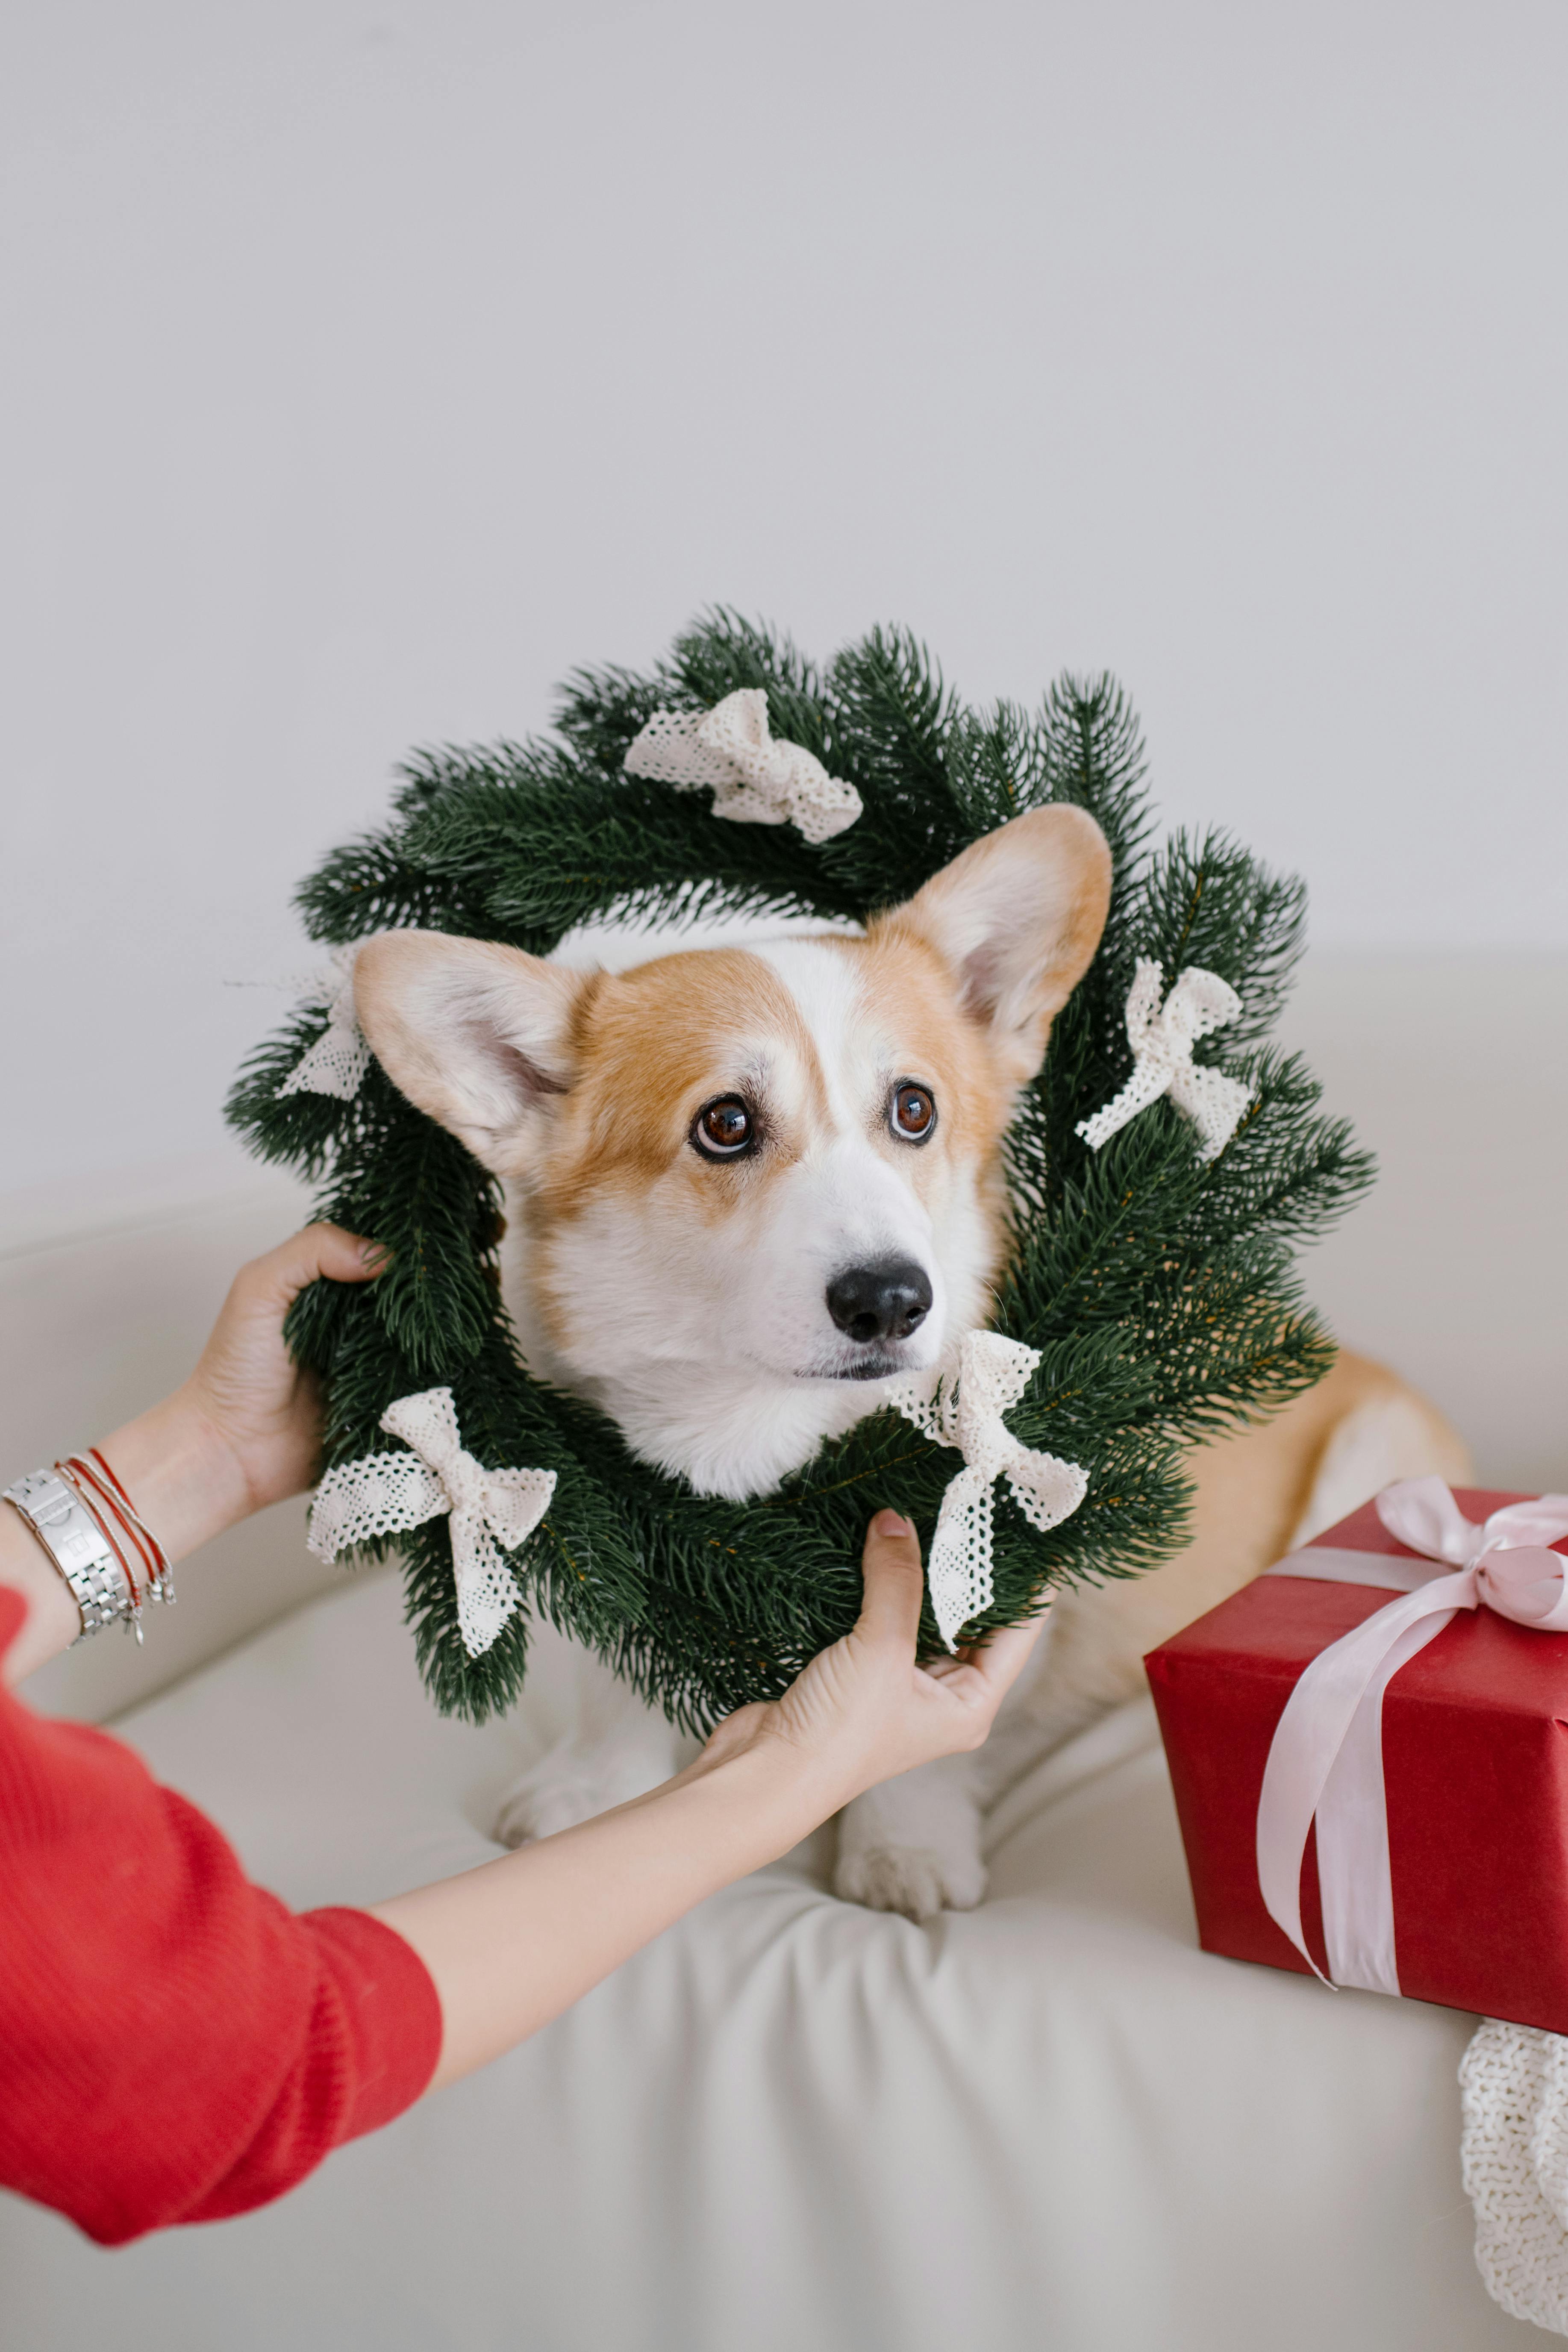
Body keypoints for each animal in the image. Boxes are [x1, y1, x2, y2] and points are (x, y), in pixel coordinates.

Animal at [355, 809, 1476, 1910]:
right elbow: (616, 1687)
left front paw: (905, 1853)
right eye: (725, 1123)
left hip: (1373, 1459)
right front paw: (594, 1792)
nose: (891, 1298)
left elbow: (922, 1751)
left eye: (913, 1108)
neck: (761, 1442)